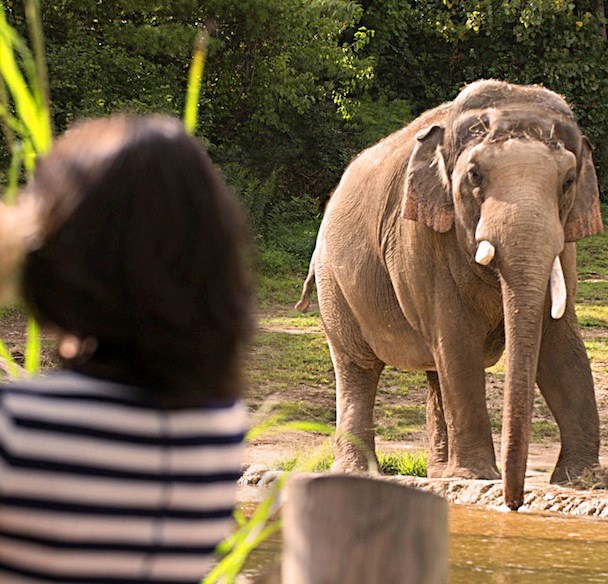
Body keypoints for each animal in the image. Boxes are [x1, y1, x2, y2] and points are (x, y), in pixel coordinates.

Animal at [296, 80, 604, 508]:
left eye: (569, 181)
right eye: (474, 175)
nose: (514, 503)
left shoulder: (565, 243)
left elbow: (562, 348)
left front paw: (584, 481)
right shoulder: (421, 239)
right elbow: (458, 342)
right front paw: (478, 478)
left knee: (434, 370)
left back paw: (441, 474)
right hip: (333, 285)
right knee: (358, 367)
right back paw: (360, 474)